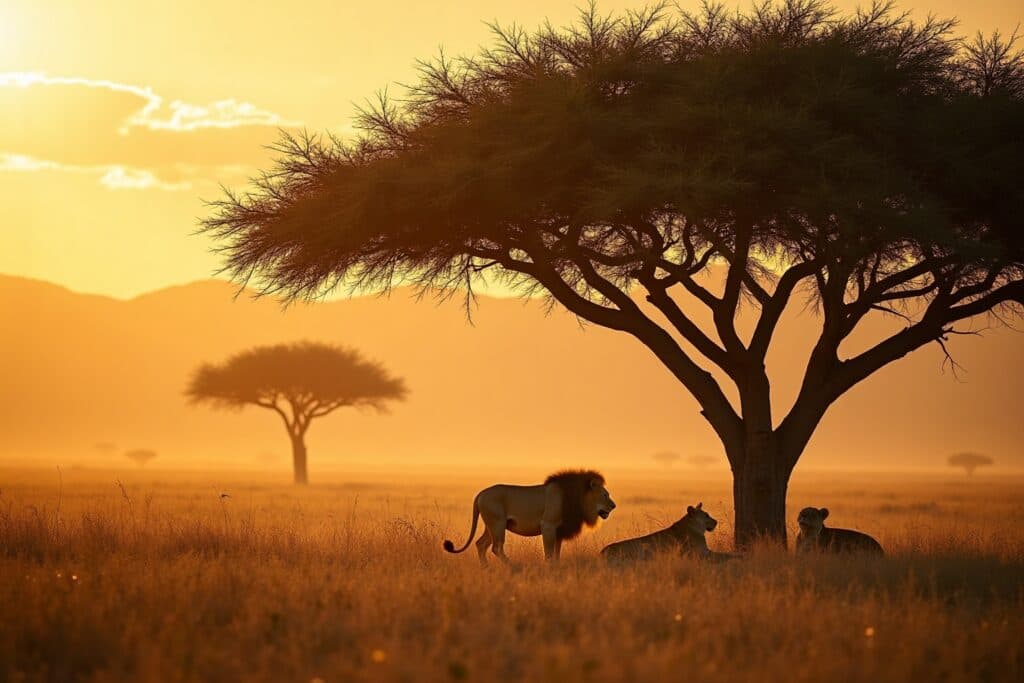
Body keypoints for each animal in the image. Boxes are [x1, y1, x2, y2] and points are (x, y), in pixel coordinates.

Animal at [443, 470, 616, 564]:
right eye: (605, 495)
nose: (614, 506)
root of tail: (480, 493)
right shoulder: (548, 526)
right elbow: (549, 553)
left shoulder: (559, 531)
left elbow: (557, 553)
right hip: (498, 524)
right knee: (496, 547)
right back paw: (512, 565)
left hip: (491, 526)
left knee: (480, 544)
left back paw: (486, 568)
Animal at [601, 502, 734, 562]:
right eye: (706, 515)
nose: (716, 522)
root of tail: (602, 551)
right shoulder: (702, 553)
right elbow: (724, 555)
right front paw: (737, 555)